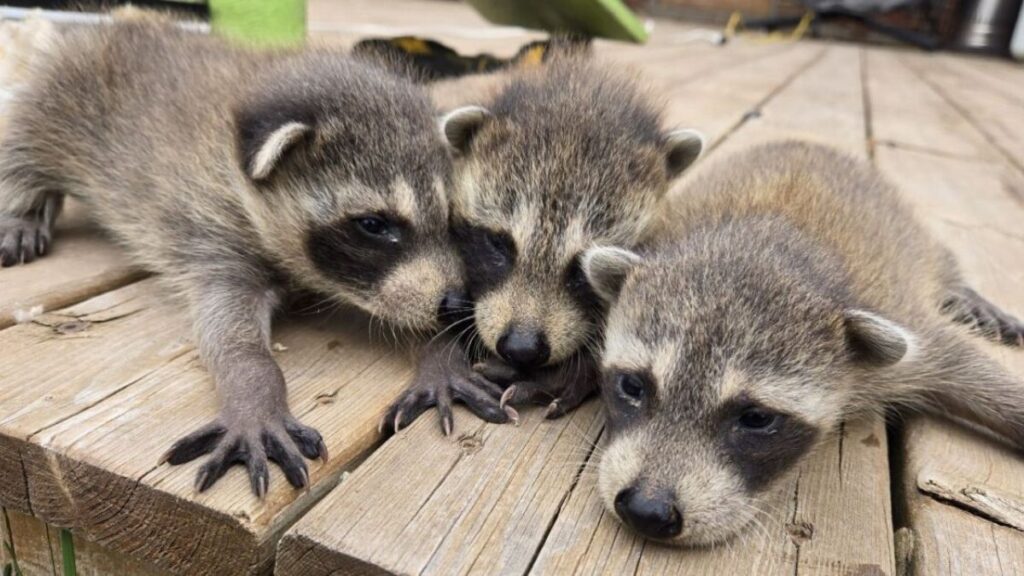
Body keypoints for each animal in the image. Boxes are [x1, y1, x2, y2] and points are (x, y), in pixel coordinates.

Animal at [0, 17, 463, 496]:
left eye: (451, 218)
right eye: (373, 224)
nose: (455, 301)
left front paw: (442, 353)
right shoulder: (213, 235)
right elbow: (230, 337)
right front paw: (253, 395)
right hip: (57, 99)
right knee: (22, 153)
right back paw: (21, 210)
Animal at [382, 56, 705, 435]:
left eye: (584, 263)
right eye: (498, 243)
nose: (521, 348)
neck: (574, 88)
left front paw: (571, 373)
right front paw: (443, 359)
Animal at [583, 141, 1024, 544]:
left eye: (756, 418)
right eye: (633, 385)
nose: (646, 510)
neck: (761, 248)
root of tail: (812, 143)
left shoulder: (902, 325)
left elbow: (966, 365)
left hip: (910, 233)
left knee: (940, 259)